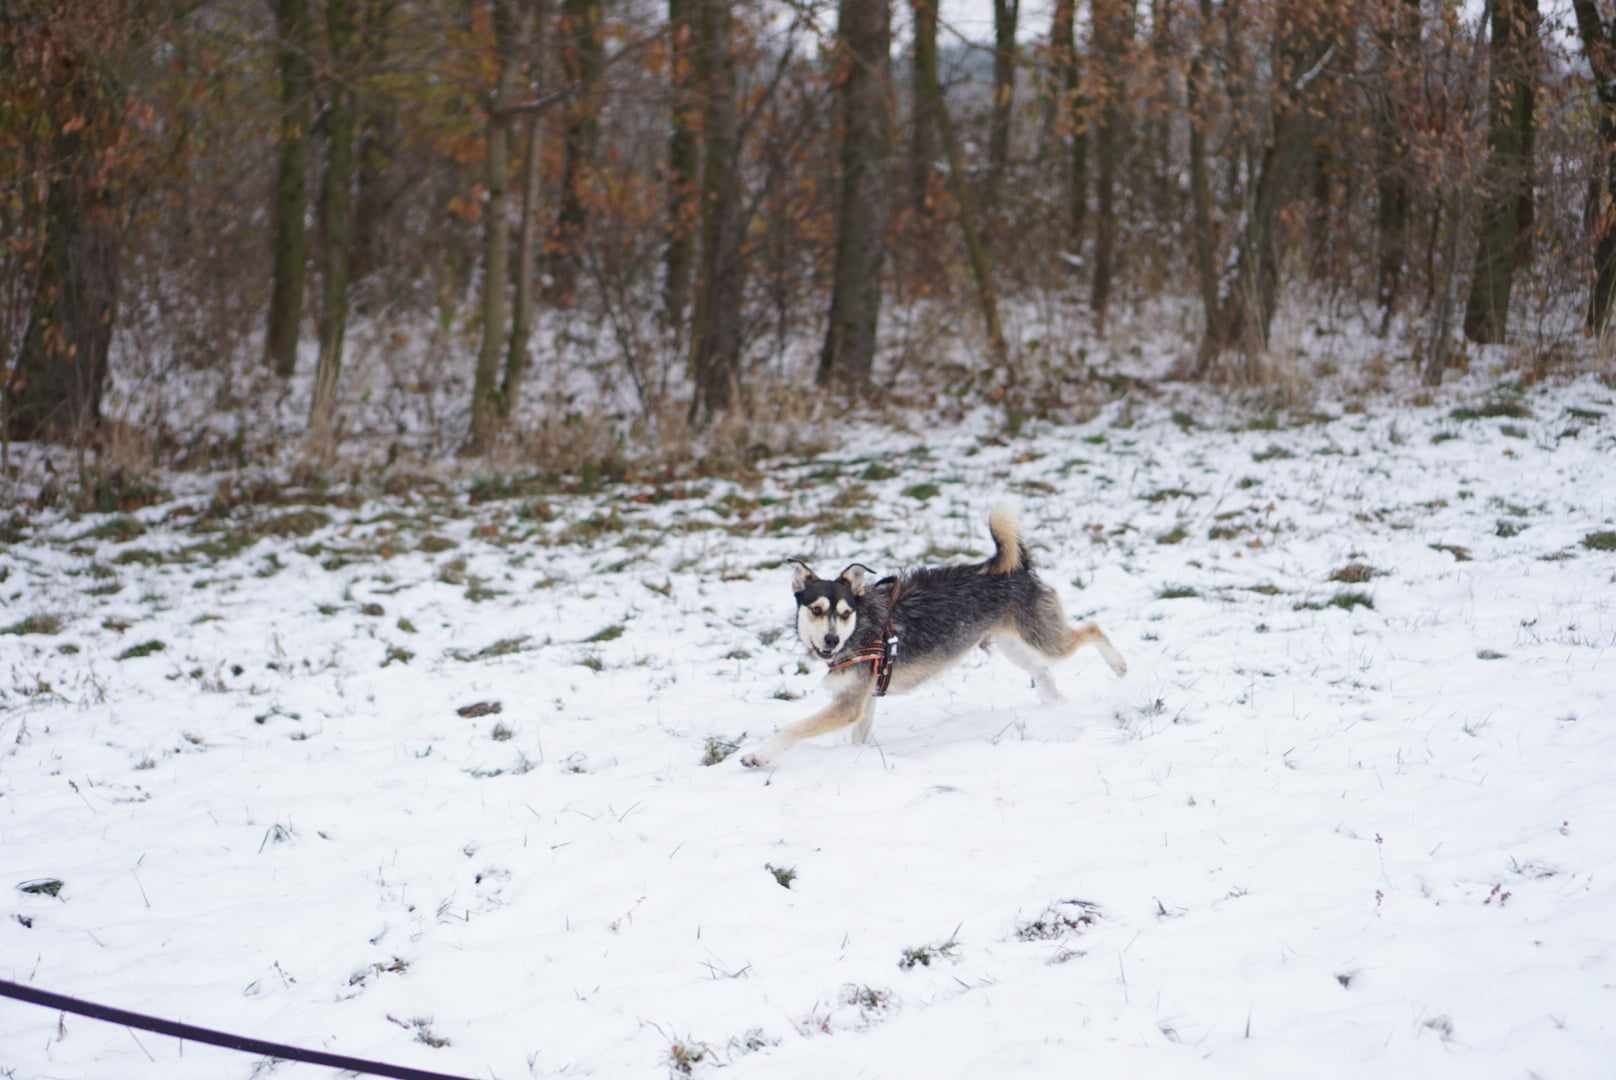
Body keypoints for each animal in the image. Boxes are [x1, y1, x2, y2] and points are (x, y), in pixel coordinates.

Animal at [740, 501, 1124, 763]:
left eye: (845, 613)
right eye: (817, 610)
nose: (831, 640)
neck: (861, 628)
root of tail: (1018, 568)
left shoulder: (847, 704)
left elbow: (795, 728)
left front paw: (759, 755)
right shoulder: (865, 697)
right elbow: (859, 733)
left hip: (1043, 637)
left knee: (1092, 629)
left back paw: (1119, 666)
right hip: (1013, 643)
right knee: (1043, 671)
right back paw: (1055, 706)